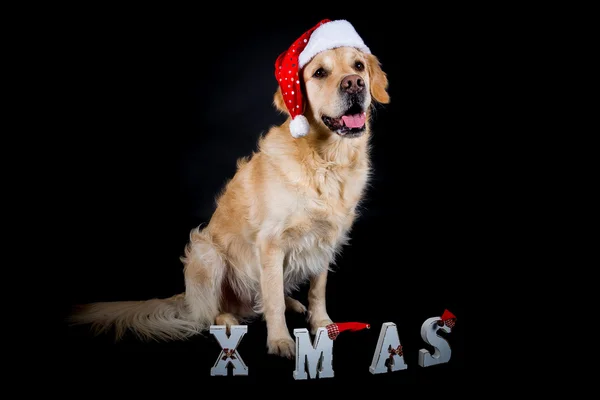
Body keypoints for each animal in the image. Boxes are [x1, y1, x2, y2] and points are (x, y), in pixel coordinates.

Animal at [69, 19, 390, 360]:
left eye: (358, 65)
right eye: (319, 72)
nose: (355, 84)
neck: (325, 160)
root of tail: (186, 297)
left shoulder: (325, 241)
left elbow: (317, 290)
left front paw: (323, 324)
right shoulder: (270, 243)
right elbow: (273, 300)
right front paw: (280, 341)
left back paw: (290, 303)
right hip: (205, 253)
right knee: (210, 313)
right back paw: (227, 319)